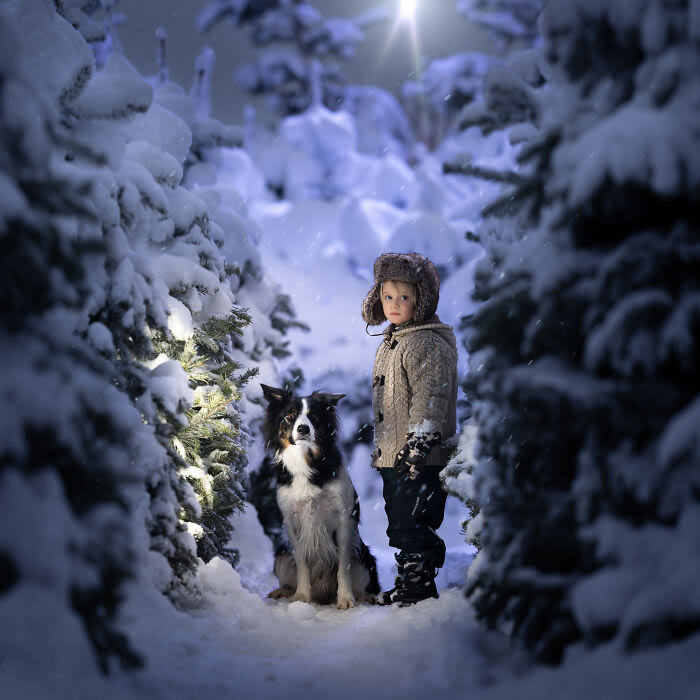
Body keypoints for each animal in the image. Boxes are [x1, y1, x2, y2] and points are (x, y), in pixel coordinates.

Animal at [262, 382, 380, 608]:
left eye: (314, 416)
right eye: (289, 415)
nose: (303, 428)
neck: (305, 460)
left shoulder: (343, 519)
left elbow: (343, 567)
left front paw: (346, 599)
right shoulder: (292, 520)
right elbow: (301, 562)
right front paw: (301, 597)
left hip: (364, 559)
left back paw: (365, 597)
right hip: (281, 556)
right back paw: (283, 591)